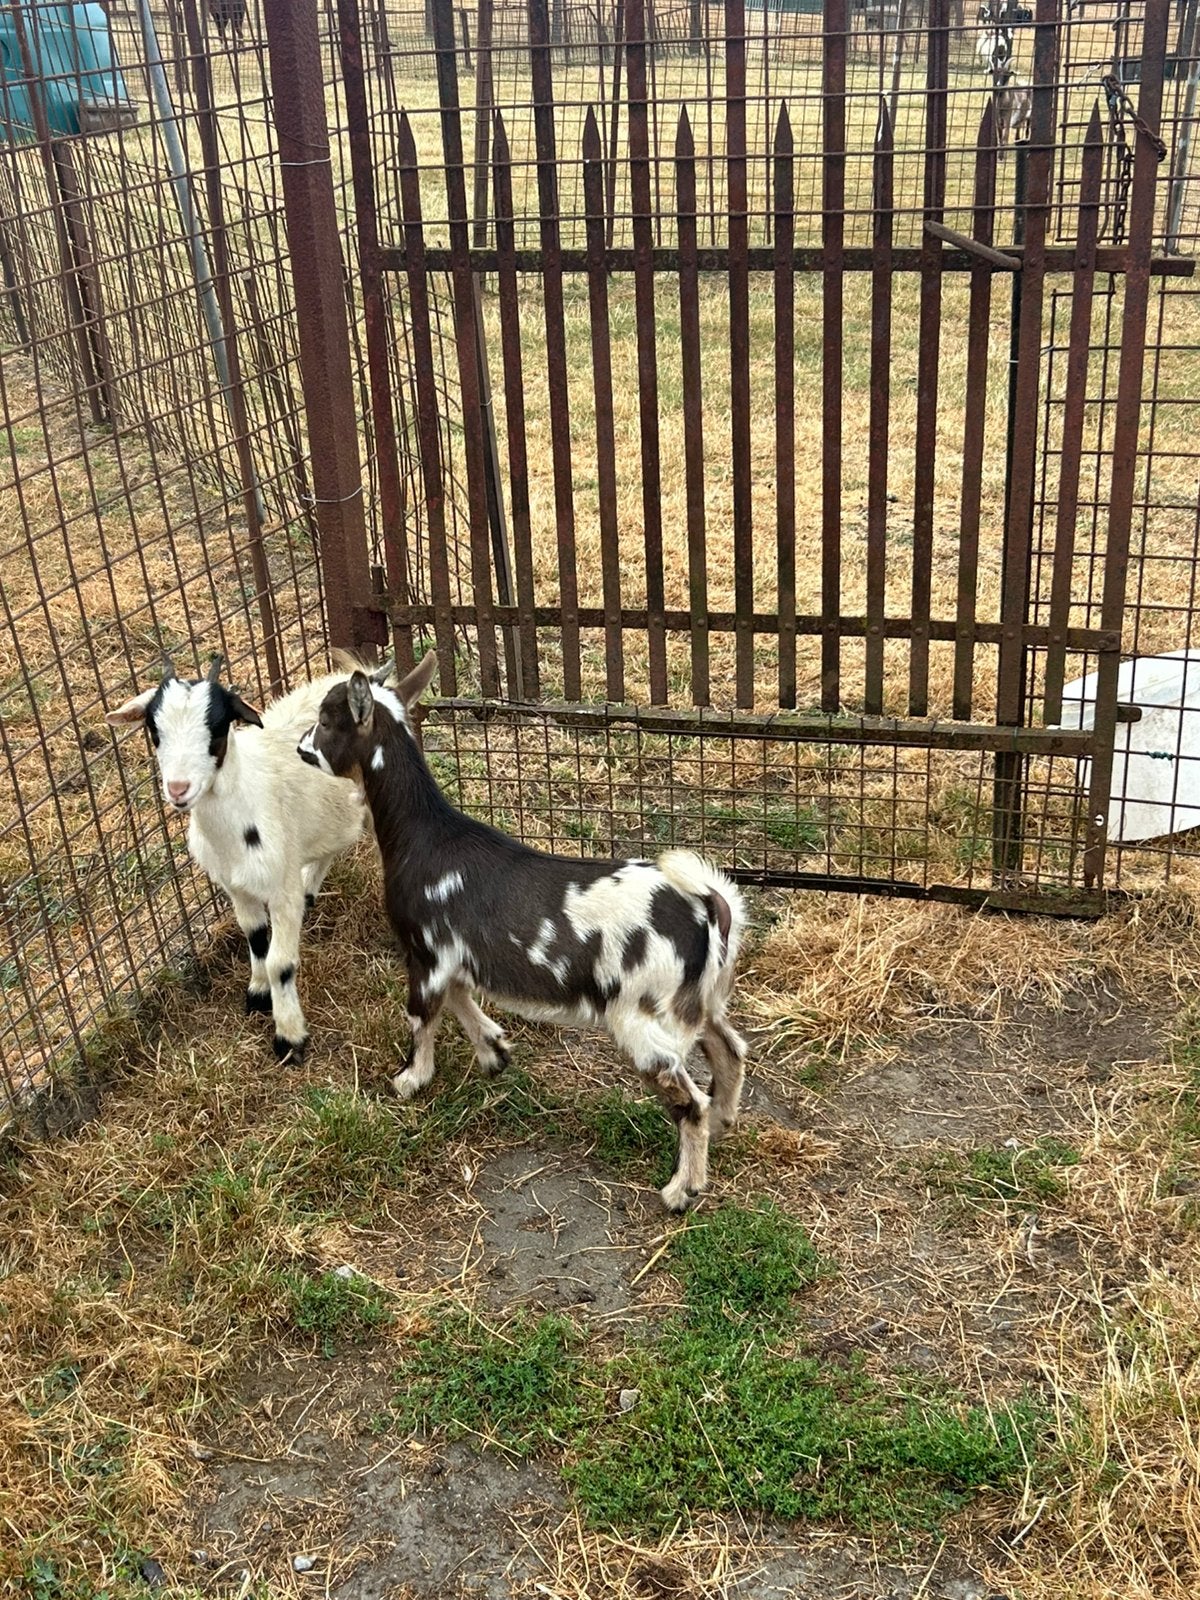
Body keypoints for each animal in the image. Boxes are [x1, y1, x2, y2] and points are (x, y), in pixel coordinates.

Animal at [107, 655, 372, 1062]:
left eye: (216, 727)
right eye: (154, 729)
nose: (178, 789)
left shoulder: (280, 890)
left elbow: (280, 962)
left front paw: (289, 1038)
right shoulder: (236, 887)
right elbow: (256, 938)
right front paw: (258, 994)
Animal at [298, 657, 748, 1213]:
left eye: (326, 719)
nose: (301, 746)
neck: (424, 837)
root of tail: (708, 907)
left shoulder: (425, 951)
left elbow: (423, 1016)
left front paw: (411, 1080)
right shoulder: (456, 954)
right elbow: (461, 996)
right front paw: (494, 1051)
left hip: (646, 1020)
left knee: (691, 1102)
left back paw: (682, 1189)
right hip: (699, 1003)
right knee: (730, 1050)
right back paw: (726, 1125)